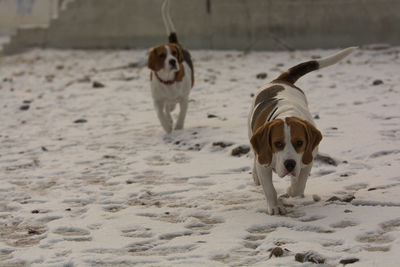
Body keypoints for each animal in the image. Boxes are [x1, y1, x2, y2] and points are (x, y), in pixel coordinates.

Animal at [148, 0, 195, 134]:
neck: (168, 80)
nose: (173, 61)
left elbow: (182, 114)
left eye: (174, 53)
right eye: (162, 55)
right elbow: (160, 114)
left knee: (171, 106)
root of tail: (175, 42)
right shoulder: (157, 100)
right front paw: (167, 127)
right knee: (167, 107)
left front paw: (178, 127)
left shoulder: (184, 98)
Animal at [248, 47, 358, 216]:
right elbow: (270, 189)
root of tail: (281, 80)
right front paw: (275, 206)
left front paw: (291, 188)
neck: (286, 113)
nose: (290, 164)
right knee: (255, 155)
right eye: (277, 144)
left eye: (299, 143)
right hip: (251, 131)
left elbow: (299, 186)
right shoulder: (264, 166)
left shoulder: (308, 160)